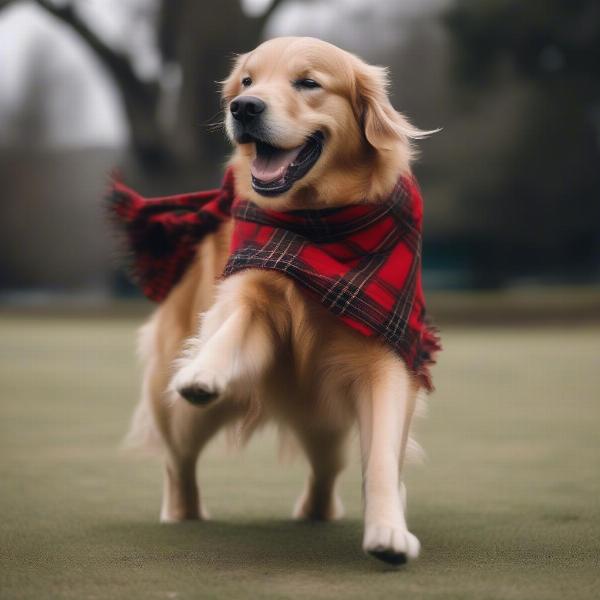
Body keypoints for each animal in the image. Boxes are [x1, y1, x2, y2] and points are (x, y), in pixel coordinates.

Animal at [123, 36, 440, 564]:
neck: (320, 222)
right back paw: (182, 513)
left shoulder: (389, 352)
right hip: (183, 418)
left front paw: (388, 531)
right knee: (178, 462)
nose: (244, 108)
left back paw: (316, 512)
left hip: (326, 421)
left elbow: (381, 456)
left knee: (325, 471)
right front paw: (203, 371)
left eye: (308, 82)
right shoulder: (252, 290)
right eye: (247, 81)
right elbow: (233, 328)